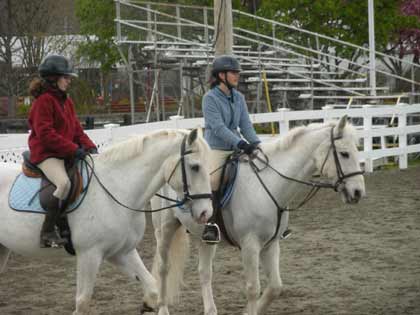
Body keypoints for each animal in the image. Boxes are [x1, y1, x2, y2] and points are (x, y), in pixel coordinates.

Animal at [0, 129, 212, 315]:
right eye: (195, 167)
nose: (206, 212)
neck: (117, 188)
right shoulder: (89, 255)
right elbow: (82, 303)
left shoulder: (121, 252)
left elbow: (152, 287)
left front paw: (147, 306)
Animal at [147, 118, 364, 315]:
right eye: (344, 154)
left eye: (357, 150)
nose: (358, 192)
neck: (269, 184)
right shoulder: (250, 245)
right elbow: (253, 288)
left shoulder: (271, 244)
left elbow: (275, 287)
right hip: (165, 228)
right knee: (164, 268)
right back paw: (162, 308)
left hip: (205, 237)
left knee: (204, 272)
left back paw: (210, 310)